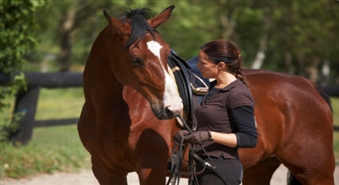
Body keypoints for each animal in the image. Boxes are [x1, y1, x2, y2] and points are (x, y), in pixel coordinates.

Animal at [78, 5, 336, 185]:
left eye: (166, 52)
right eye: (135, 59)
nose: (173, 108)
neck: (111, 115)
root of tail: (310, 87)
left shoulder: (151, 168)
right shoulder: (105, 170)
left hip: (316, 172)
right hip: (259, 168)